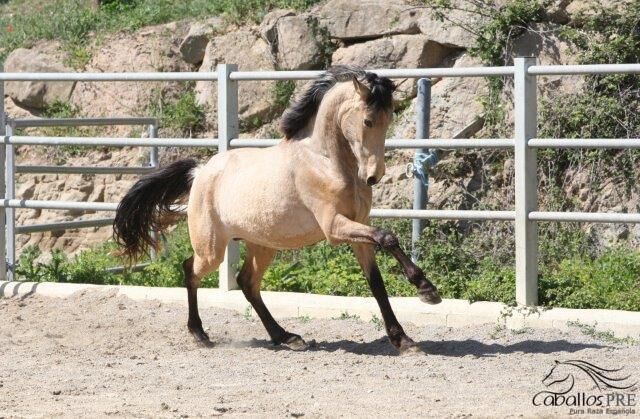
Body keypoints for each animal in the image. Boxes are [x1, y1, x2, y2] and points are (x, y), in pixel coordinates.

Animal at [114, 65, 440, 354]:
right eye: (368, 121)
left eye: (389, 119)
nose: (373, 176)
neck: (326, 161)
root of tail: (200, 172)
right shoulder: (335, 228)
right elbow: (387, 237)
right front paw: (426, 289)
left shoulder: (358, 228)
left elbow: (376, 282)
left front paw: (404, 339)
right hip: (211, 249)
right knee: (191, 271)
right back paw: (200, 334)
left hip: (262, 244)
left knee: (247, 284)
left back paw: (286, 337)